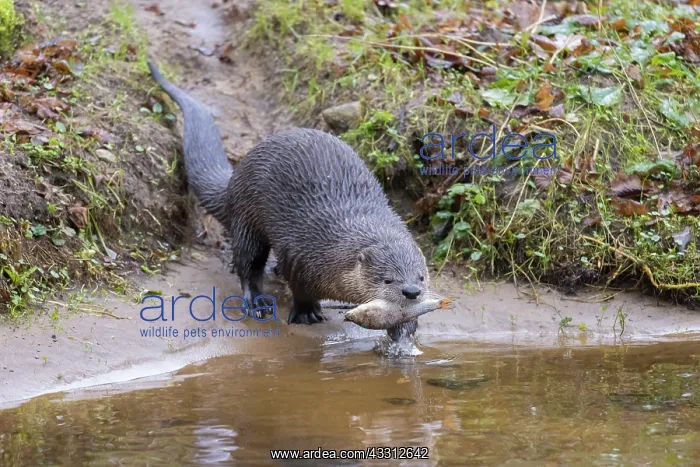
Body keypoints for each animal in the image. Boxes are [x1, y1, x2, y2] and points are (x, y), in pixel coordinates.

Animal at [148, 62, 429, 340]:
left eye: (421, 277)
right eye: (387, 279)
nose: (411, 291)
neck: (334, 247)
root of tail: (233, 180)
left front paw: (404, 337)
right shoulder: (300, 255)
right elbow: (300, 289)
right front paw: (306, 313)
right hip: (246, 216)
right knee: (247, 262)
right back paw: (258, 302)